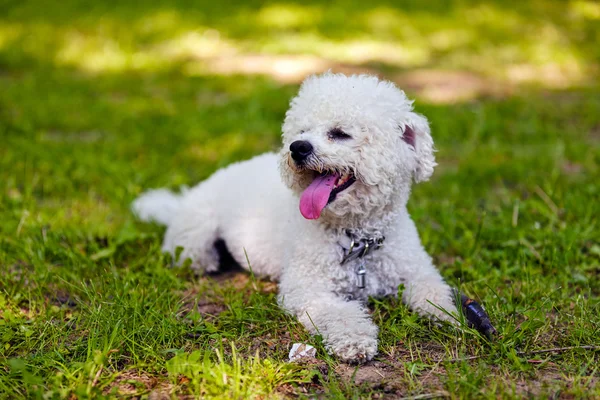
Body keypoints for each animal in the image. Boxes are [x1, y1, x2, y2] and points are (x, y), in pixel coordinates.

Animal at [134, 72, 458, 362]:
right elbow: (339, 313)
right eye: (301, 131)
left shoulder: (417, 272)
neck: (358, 240)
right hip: (194, 241)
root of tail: (184, 201)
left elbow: (435, 292)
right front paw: (354, 340)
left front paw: (450, 315)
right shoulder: (308, 288)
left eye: (340, 133)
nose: (298, 148)